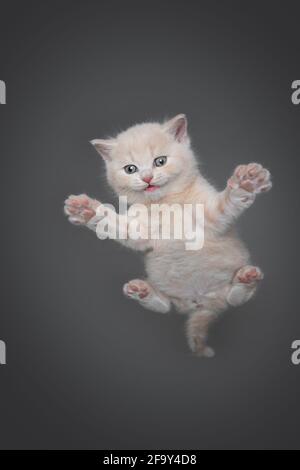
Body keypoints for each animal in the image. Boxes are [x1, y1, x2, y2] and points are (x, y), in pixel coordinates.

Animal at [63, 115, 272, 358]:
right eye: (130, 169)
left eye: (160, 161)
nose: (147, 178)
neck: (166, 203)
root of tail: (201, 304)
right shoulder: (139, 231)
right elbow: (116, 225)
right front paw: (86, 210)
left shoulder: (213, 218)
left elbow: (226, 204)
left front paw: (246, 183)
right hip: (169, 290)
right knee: (165, 306)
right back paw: (142, 291)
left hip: (228, 288)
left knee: (235, 298)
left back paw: (246, 277)